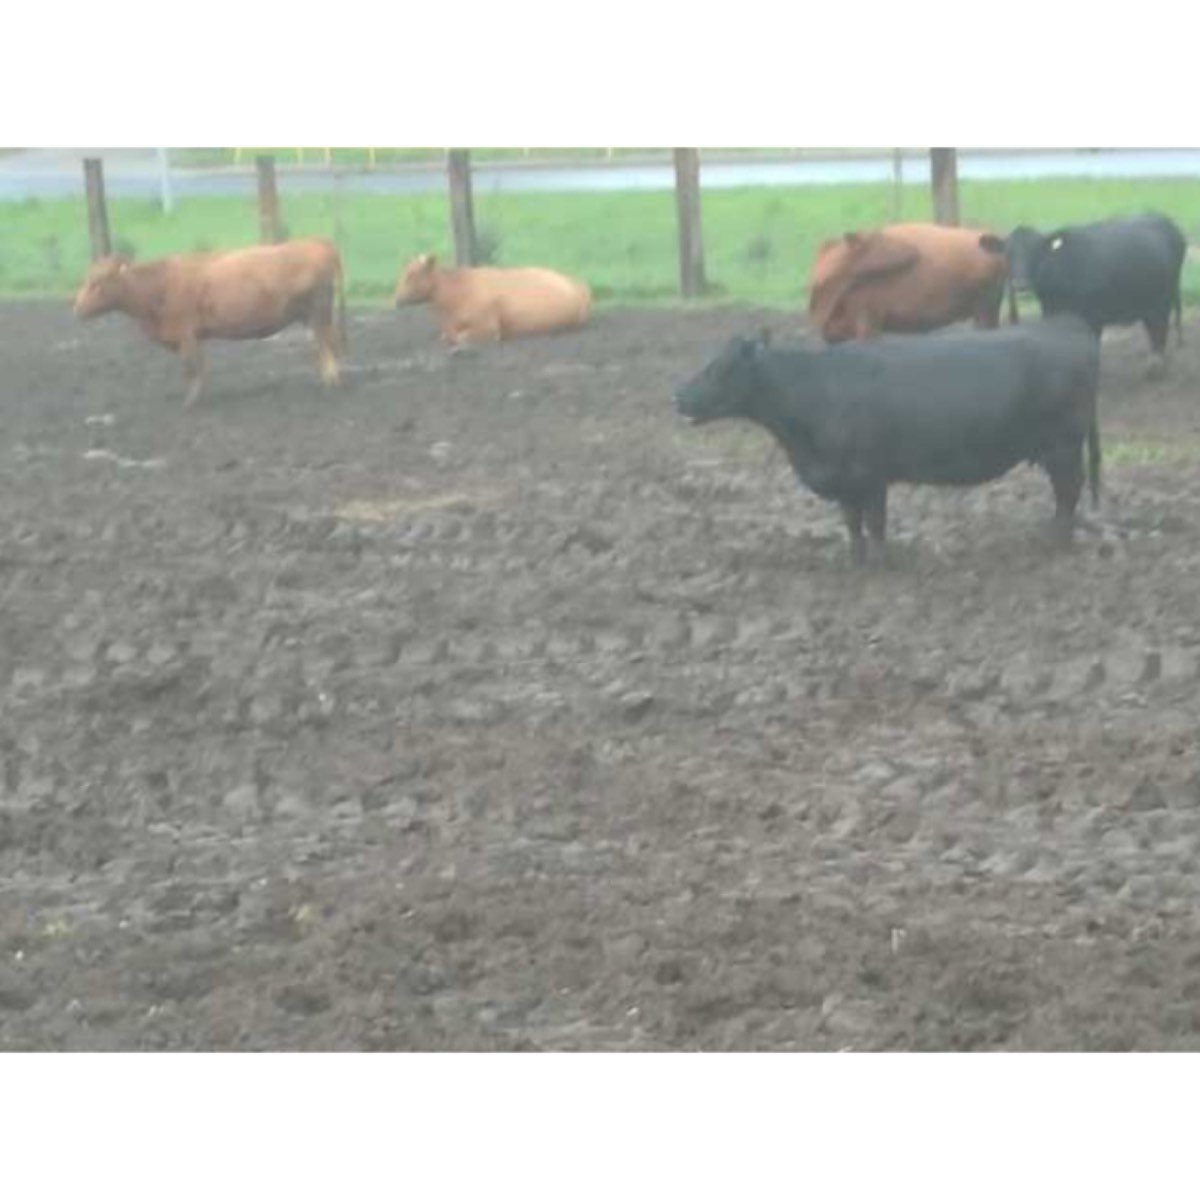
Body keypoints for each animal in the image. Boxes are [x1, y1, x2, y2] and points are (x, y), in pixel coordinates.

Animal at [73, 238, 347, 407]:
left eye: (97, 282)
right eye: (87, 279)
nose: (76, 307)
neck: (159, 285)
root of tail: (317, 242)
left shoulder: (185, 333)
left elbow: (191, 367)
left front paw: (190, 402)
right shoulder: (195, 336)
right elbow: (200, 367)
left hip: (319, 313)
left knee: (327, 344)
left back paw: (332, 384)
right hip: (314, 316)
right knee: (325, 345)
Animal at [673, 317, 1101, 565]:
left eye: (720, 369)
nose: (678, 395)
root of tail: (1067, 327)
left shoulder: (871, 474)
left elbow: (876, 521)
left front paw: (879, 561)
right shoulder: (844, 479)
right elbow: (852, 522)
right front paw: (855, 560)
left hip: (1063, 445)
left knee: (1069, 491)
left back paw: (1055, 541)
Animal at [982, 213, 1186, 375]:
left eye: (1036, 251)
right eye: (1008, 253)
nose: (1020, 284)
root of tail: (1164, 220)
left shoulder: (1094, 318)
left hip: (1163, 298)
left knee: (1160, 327)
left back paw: (1156, 365)